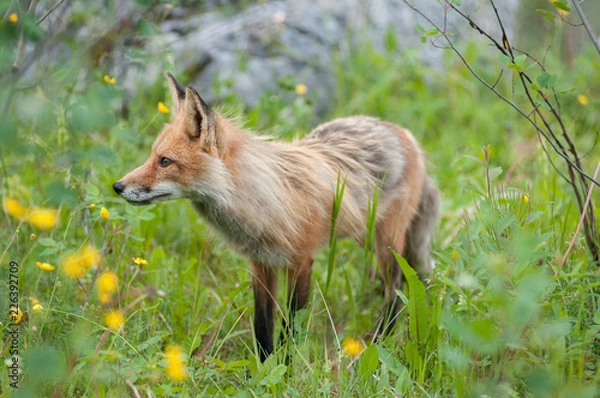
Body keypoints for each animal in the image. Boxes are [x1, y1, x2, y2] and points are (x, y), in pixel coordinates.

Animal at [113, 73, 440, 362]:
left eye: (165, 161)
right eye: (151, 156)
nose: (117, 186)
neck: (261, 203)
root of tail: (404, 132)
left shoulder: (302, 261)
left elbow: (291, 326)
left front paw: (287, 368)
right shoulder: (262, 263)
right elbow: (262, 326)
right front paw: (264, 368)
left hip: (385, 242)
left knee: (397, 288)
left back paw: (381, 337)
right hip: (369, 237)